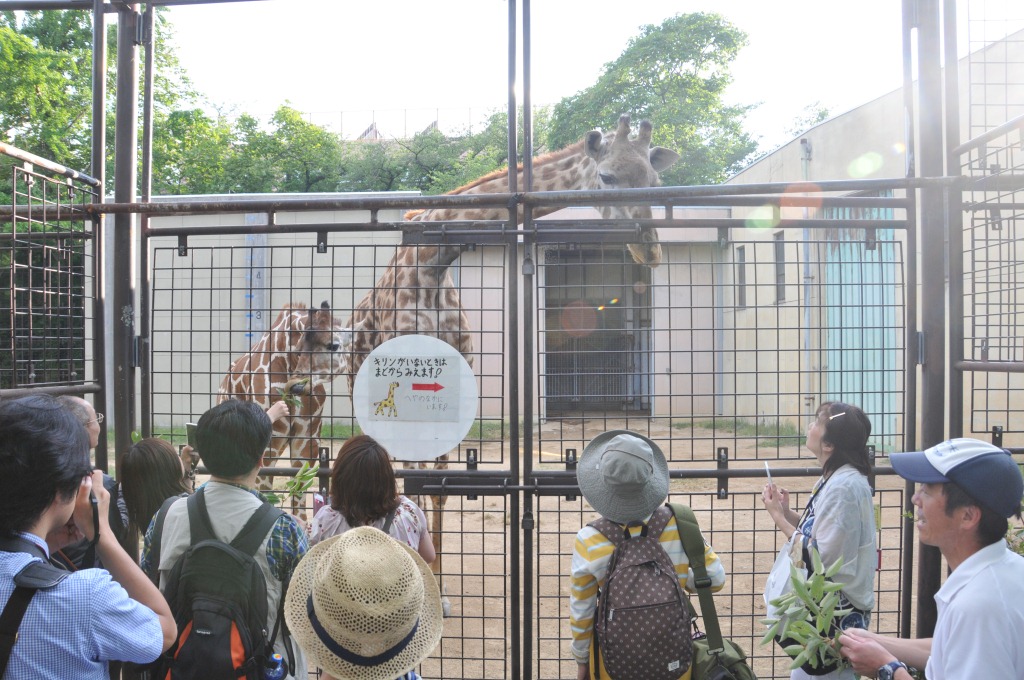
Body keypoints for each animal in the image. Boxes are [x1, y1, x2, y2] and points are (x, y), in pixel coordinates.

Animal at [218, 300, 355, 512]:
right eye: (298, 349)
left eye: (334, 345)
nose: (297, 386)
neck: (286, 362)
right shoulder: (270, 441)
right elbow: (265, 489)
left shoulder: (306, 439)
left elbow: (299, 490)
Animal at [343, 114, 680, 614]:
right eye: (606, 177)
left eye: (654, 182)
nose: (650, 251)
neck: (431, 265)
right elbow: (412, 481)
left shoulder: (454, 387)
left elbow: (440, 484)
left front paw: (440, 589)